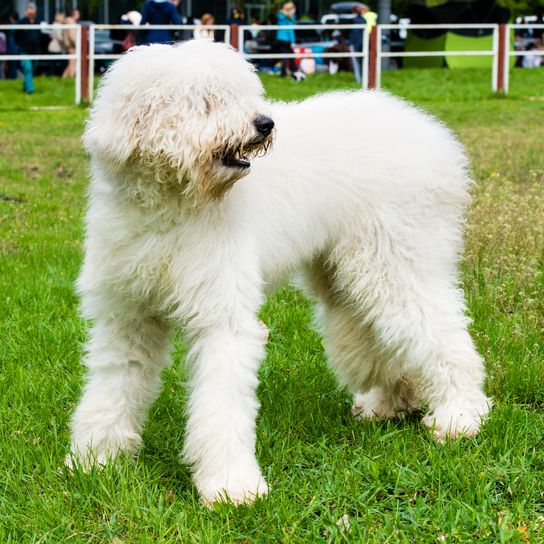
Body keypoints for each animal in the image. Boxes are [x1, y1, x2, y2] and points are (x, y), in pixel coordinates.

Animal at [70, 40, 490, 504]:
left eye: (240, 92)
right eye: (207, 99)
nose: (265, 123)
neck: (172, 209)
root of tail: (434, 136)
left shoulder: (223, 317)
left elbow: (221, 404)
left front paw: (231, 486)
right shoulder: (127, 315)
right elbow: (114, 385)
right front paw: (96, 459)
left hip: (396, 262)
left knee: (441, 333)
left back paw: (459, 417)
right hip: (346, 279)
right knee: (384, 341)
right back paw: (389, 404)